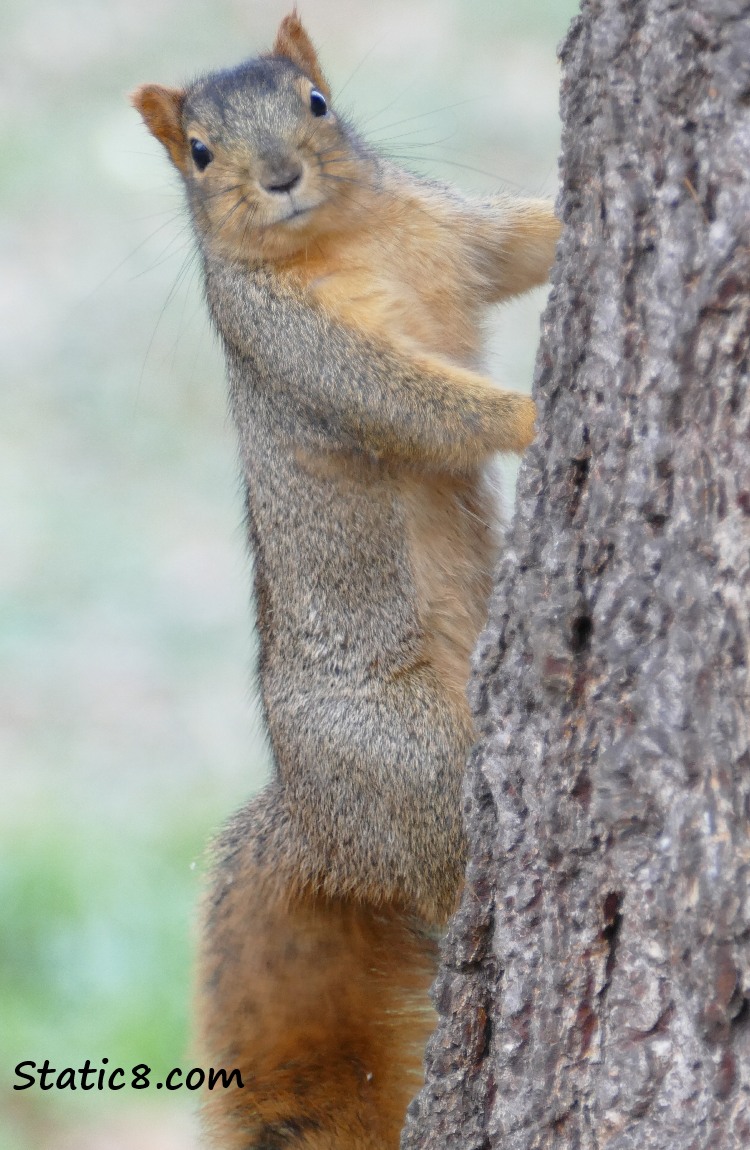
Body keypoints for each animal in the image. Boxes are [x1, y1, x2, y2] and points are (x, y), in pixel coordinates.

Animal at [131, 15, 559, 1150]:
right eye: (199, 153)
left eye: (316, 104)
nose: (280, 175)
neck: (340, 236)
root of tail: (316, 825)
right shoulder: (304, 350)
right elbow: (416, 402)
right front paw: (532, 414)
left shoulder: (456, 233)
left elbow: (524, 242)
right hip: (412, 761)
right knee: (449, 874)